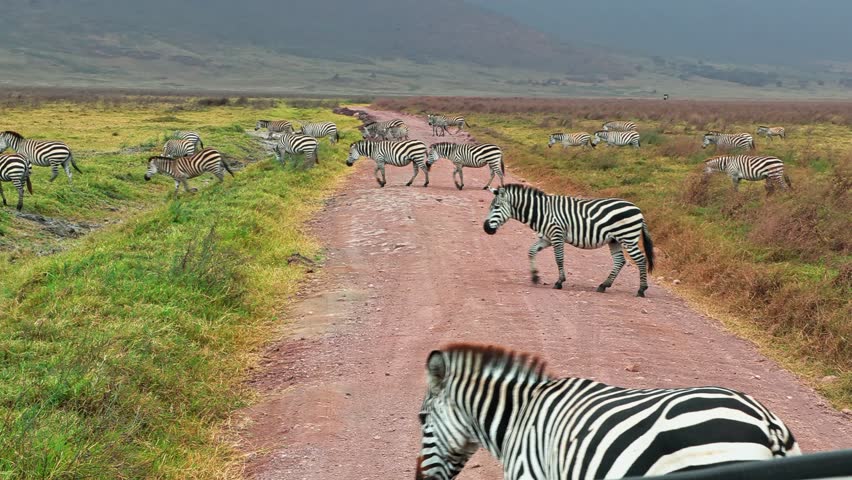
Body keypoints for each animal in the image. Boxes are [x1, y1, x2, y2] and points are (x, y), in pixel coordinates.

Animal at [483, 184, 654, 296]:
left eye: (496, 207)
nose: (486, 228)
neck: (542, 212)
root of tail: (638, 209)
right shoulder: (547, 238)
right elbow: (531, 251)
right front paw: (535, 276)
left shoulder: (557, 235)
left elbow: (559, 259)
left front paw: (559, 282)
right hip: (615, 240)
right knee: (619, 261)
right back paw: (604, 285)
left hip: (628, 237)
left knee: (641, 260)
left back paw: (641, 290)